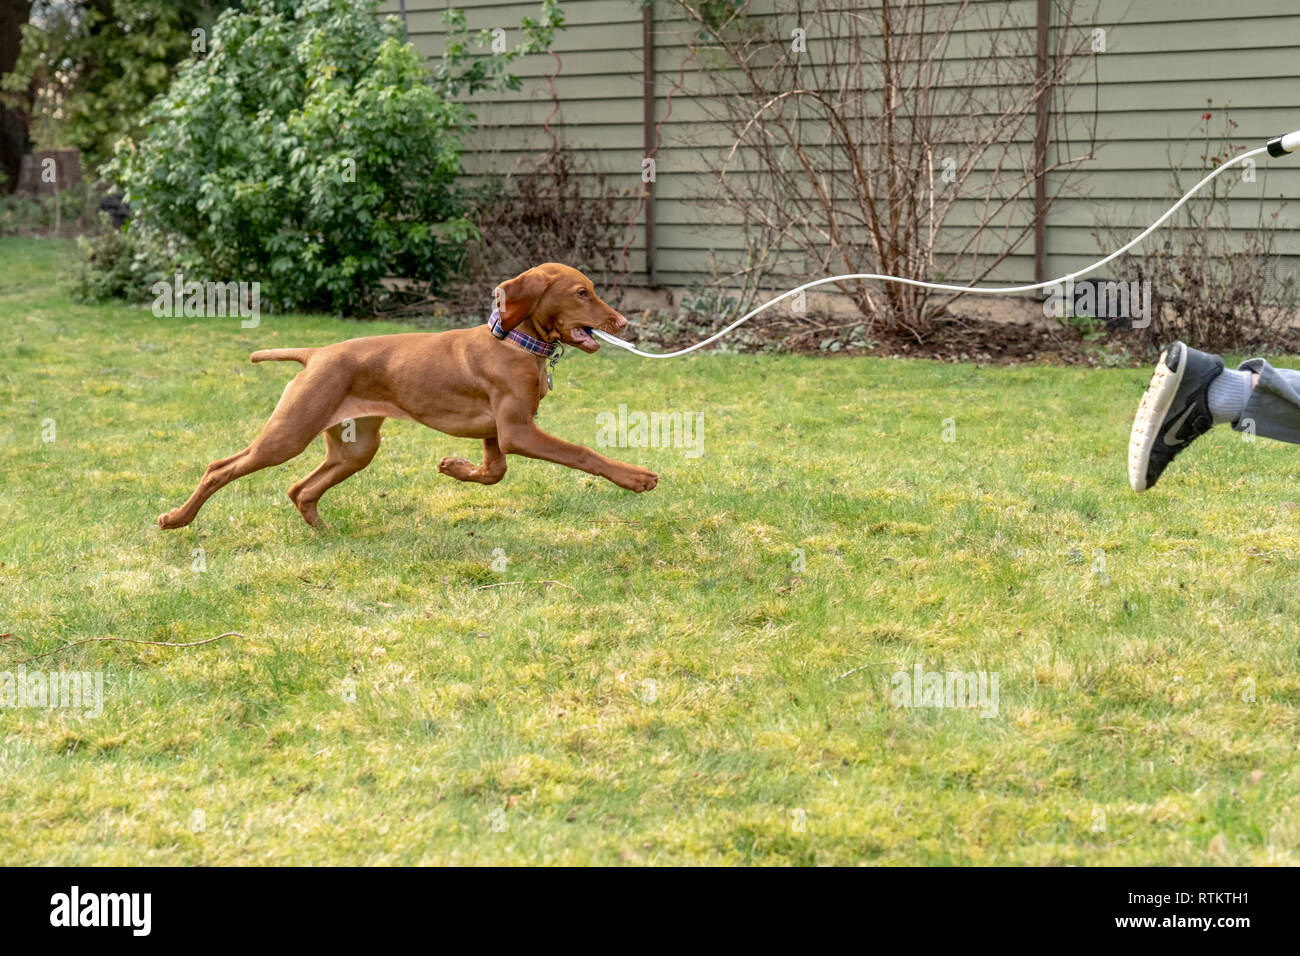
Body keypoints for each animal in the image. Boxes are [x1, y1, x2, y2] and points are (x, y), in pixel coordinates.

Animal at [158, 264, 660, 530]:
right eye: (582, 293)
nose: (623, 323)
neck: (517, 343)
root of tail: (315, 353)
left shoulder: (498, 433)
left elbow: (494, 473)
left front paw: (454, 467)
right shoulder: (519, 432)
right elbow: (582, 452)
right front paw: (635, 477)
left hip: (356, 447)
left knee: (300, 488)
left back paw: (324, 533)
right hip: (288, 434)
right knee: (221, 467)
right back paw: (177, 519)